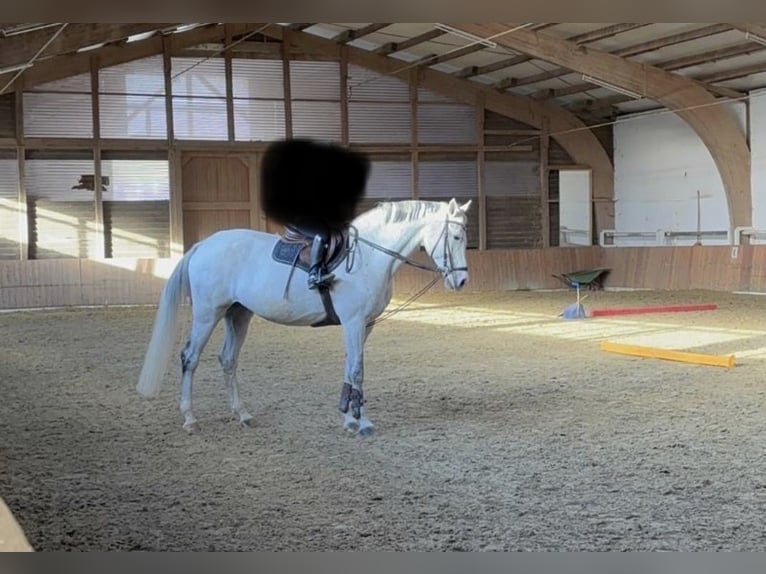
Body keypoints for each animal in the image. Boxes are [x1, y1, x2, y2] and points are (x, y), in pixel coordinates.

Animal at [136, 198, 472, 436]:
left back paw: (242, 414)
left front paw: (349, 418)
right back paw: (190, 419)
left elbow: (351, 366)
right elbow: (358, 370)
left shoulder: (364, 325)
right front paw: (362, 423)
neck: (369, 257)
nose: (462, 281)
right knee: (190, 358)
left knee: (228, 359)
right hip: (208, 314)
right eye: (455, 237)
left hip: (238, 313)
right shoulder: (353, 322)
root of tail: (204, 245)